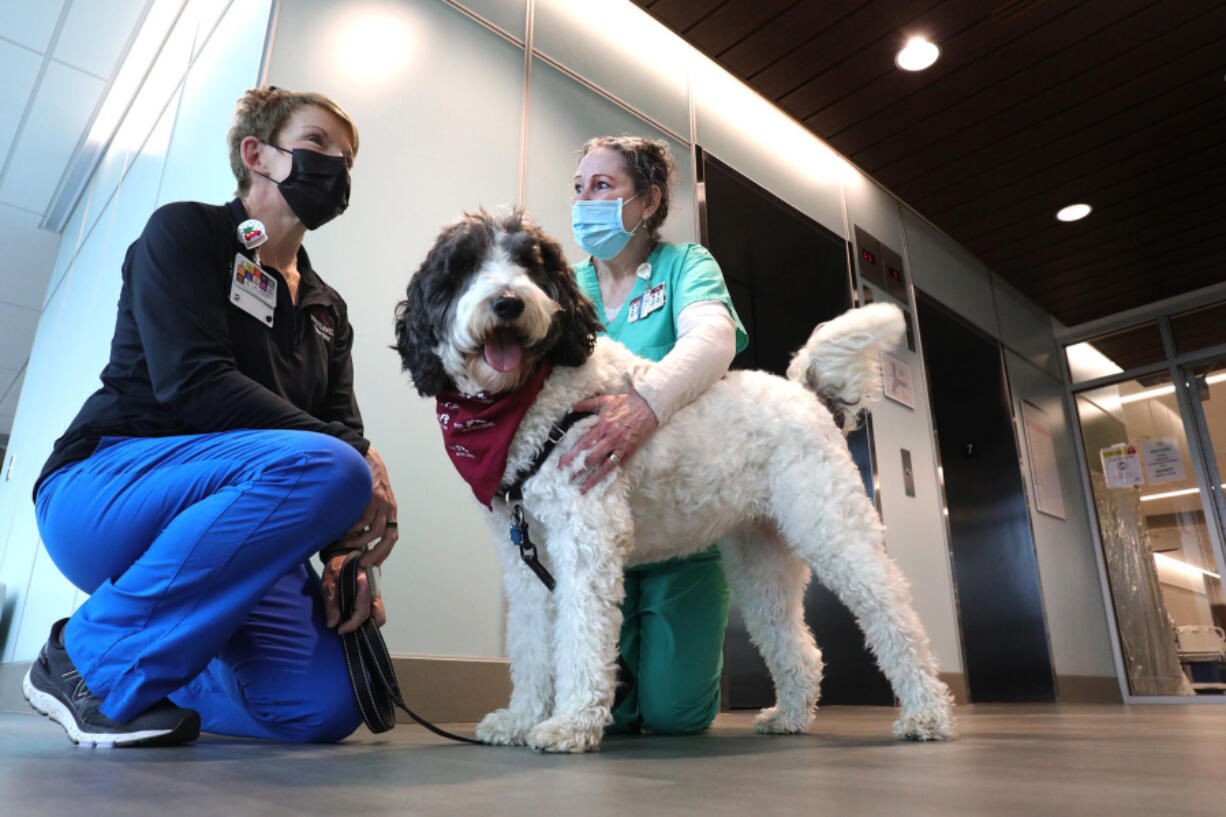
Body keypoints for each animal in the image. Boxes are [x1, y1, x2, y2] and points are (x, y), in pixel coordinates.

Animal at [397, 209, 951, 750]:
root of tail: (806, 393)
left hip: (833, 529)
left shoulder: (585, 537)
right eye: (464, 265)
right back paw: (790, 716)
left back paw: (926, 713)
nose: (508, 302)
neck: (530, 398)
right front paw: (521, 718)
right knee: (797, 644)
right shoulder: (525, 554)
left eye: (529, 262)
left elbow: (582, 635)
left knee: (894, 615)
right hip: (762, 560)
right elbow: (533, 642)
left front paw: (571, 722)